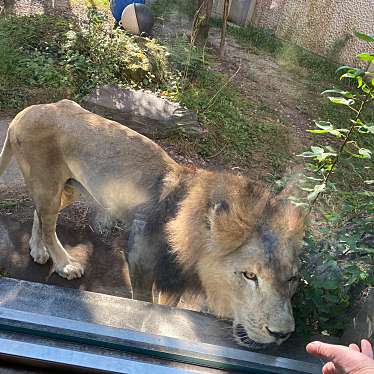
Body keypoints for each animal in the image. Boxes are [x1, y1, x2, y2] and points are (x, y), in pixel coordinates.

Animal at [0, 100, 304, 350]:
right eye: (250, 276)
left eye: (292, 279)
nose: (282, 334)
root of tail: (27, 111)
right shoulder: (140, 258)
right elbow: (144, 302)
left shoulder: (174, 280)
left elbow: (168, 306)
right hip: (48, 183)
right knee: (49, 223)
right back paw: (64, 264)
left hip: (69, 187)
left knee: (42, 217)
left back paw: (38, 249)